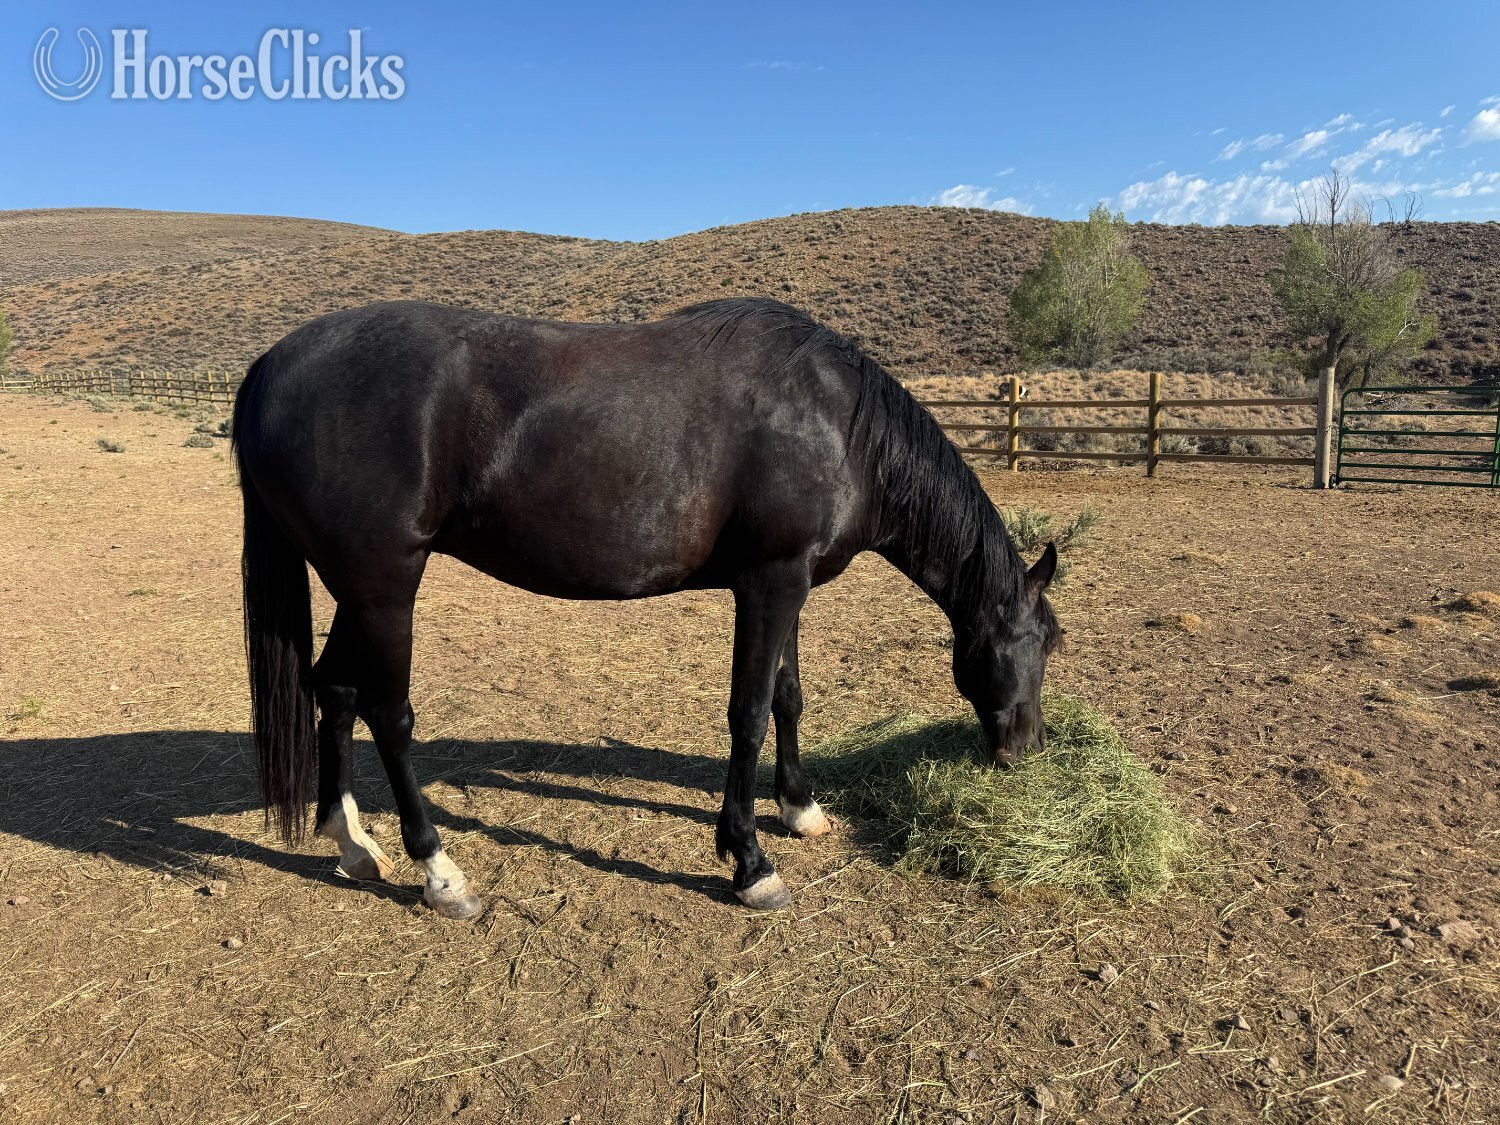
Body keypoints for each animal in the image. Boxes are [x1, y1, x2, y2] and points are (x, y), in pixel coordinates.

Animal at [233, 297, 1061, 919]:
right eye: (1039, 643)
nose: (1027, 750)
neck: (834, 420)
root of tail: (269, 366)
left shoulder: (789, 585)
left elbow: (788, 698)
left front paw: (800, 809)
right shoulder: (769, 583)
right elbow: (748, 712)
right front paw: (750, 861)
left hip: (358, 589)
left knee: (335, 688)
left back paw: (352, 843)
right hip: (385, 586)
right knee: (388, 712)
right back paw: (441, 872)